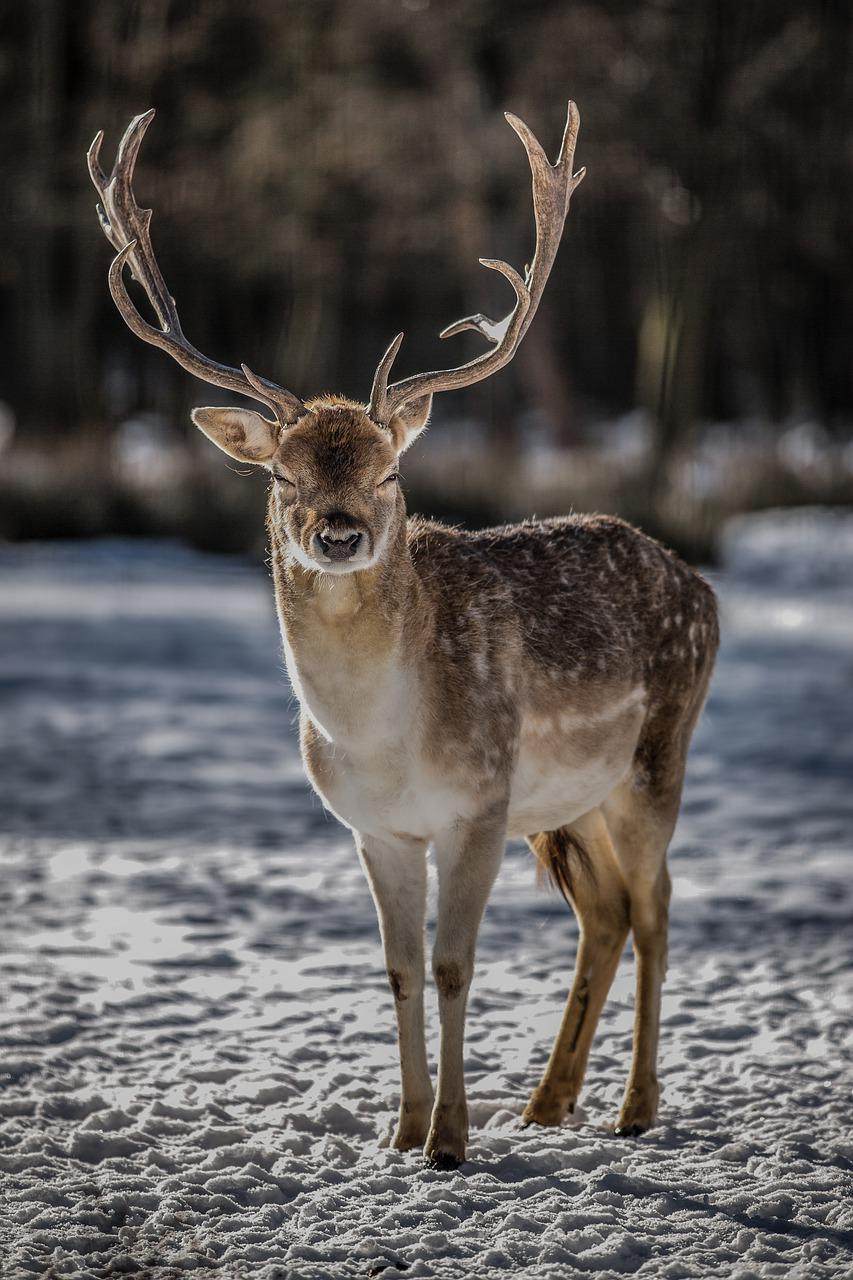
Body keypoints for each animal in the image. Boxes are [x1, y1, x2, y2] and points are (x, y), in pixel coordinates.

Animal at [89, 102, 717, 1172]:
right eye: (283, 476)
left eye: (388, 471)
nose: (339, 531)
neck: (383, 740)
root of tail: (702, 585)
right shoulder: (373, 827)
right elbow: (396, 967)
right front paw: (402, 1129)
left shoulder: (476, 804)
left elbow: (455, 963)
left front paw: (451, 1141)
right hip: (568, 801)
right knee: (605, 913)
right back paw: (546, 1104)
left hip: (652, 759)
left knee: (658, 910)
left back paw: (634, 1109)